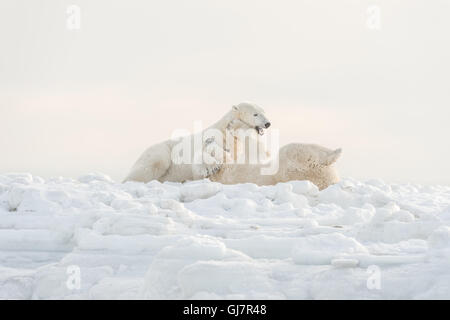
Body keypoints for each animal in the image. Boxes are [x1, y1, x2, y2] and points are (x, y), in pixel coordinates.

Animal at [123, 101, 270, 184]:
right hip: (160, 152)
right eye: (255, 114)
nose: (268, 123)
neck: (224, 131)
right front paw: (211, 167)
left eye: (263, 111)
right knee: (151, 166)